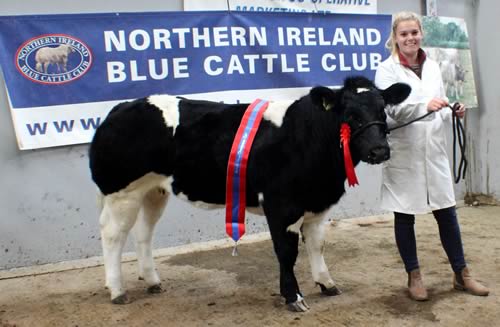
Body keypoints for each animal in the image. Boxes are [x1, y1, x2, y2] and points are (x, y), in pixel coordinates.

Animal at [89, 77, 410, 312]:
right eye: (350, 114)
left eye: (382, 110)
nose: (379, 150)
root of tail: (122, 107)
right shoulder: (281, 205)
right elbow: (287, 252)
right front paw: (293, 297)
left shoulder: (317, 203)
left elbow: (317, 245)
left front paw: (326, 283)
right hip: (122, 191)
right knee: (113, 235)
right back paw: (117, 290)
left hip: (153, 190)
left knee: (144, 232)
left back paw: (152, 281)